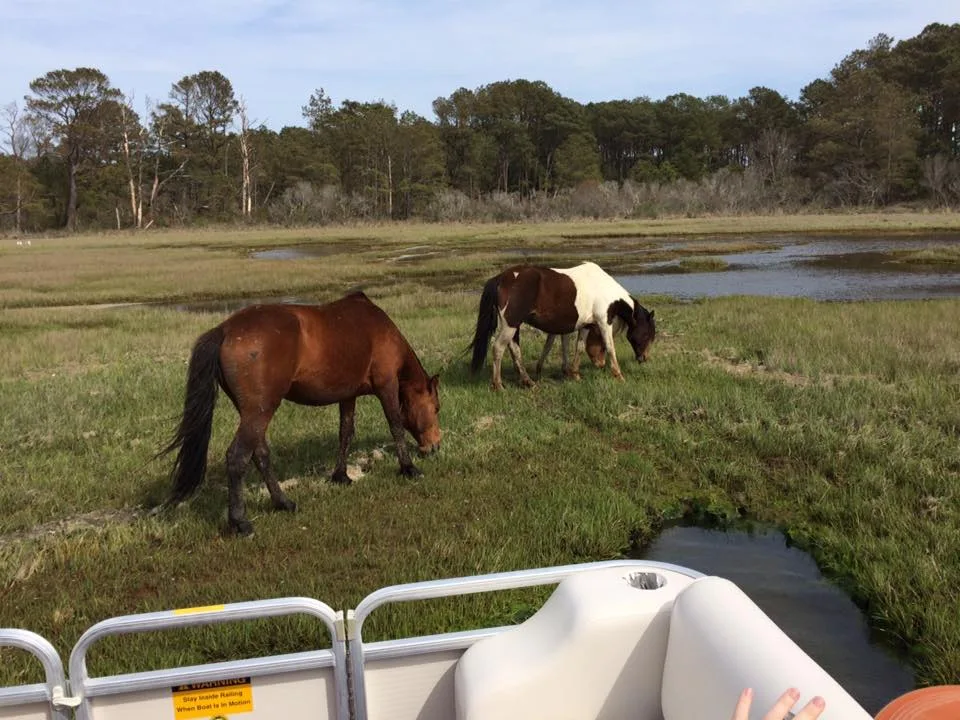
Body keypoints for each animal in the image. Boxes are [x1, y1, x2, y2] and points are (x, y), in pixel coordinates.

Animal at [160, 291, 441, 536]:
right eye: (436, 408)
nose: (435, 446)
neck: (380, 329)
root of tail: (226, 330)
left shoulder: (348, 395)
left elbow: (345, 433)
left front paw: (341, 476)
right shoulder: (386, 384)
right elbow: (395, 424)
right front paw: (408, 468)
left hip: (252, 413)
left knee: (260, 454)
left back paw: (283, 503)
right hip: (259, 411)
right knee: (238, 457)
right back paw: (241, 523)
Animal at [469, 261, 656, 390]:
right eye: (647, 334)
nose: (644, 358)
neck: (604, 290)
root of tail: (501, 278)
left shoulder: (586, 325)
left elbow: (579, 347)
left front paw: (575, 374)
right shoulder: (604, 321)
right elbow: (611, 348)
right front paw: (619, 376)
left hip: (514, 326)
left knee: (514, 350)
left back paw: (528, 382)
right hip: (511, 325)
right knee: (498, 348)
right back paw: (498, 385)